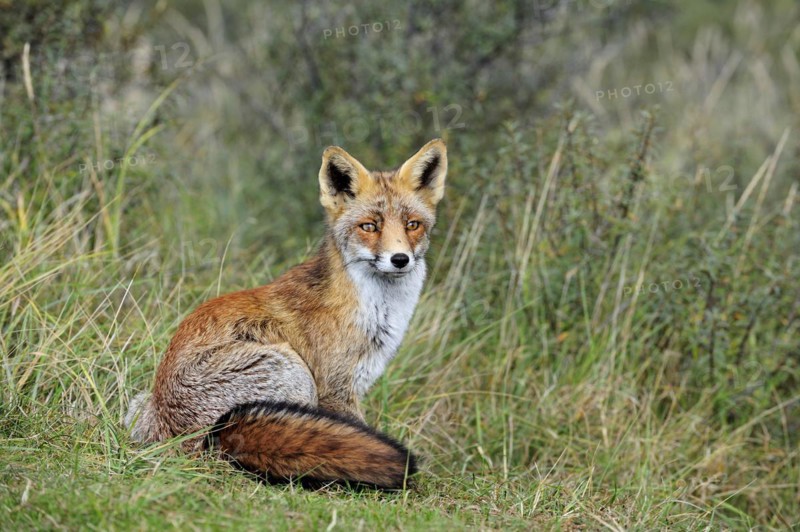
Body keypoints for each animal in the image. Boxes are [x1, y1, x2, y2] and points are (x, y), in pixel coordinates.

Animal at [125, 138, 448, 490]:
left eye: (412, 225)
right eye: (369, 227)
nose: (400, 259)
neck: (376, 309)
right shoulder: (335, 389)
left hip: (139, 405)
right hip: (291, 370)